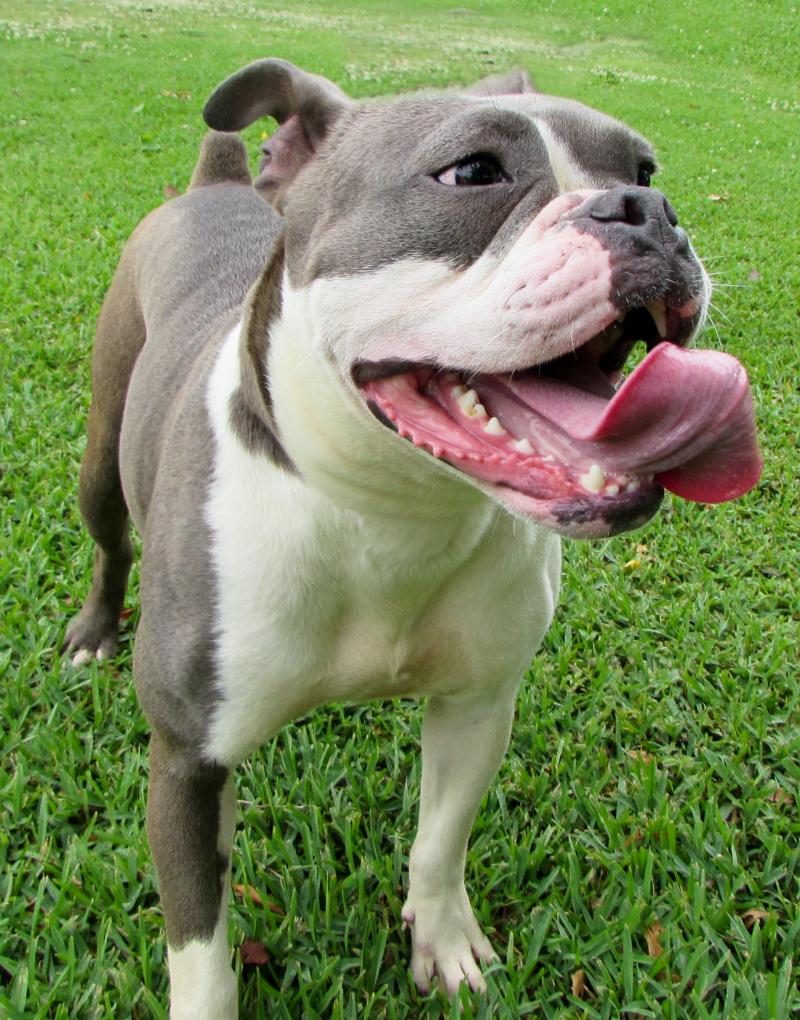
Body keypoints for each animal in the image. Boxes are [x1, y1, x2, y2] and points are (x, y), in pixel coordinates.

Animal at [63, 58, 760, 1018]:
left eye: (646, 168)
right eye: (471, 173)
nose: (648, 210)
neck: (396, 509)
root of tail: (214, 185)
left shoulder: (478, 704)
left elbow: (440, 841)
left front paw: (444, 944)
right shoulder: (187, 764)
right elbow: (200, 950)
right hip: (102, 452)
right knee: (110, 542)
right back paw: (93, 633)